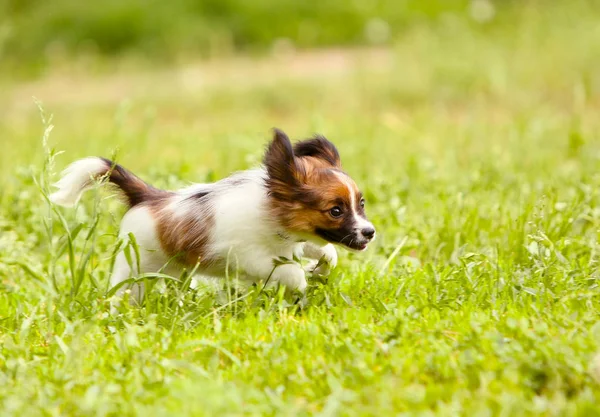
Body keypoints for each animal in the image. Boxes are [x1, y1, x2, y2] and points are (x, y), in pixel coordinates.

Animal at [49, 127, 376, 302]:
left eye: (361, 204)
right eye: (335, 211)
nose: (369, 232)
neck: (273, 216)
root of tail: (149, 196)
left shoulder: (297, 240)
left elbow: (325, 253)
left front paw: (318, 268)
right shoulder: (246, 256)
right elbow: (288, 271)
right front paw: (300, 283)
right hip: (135, 269)